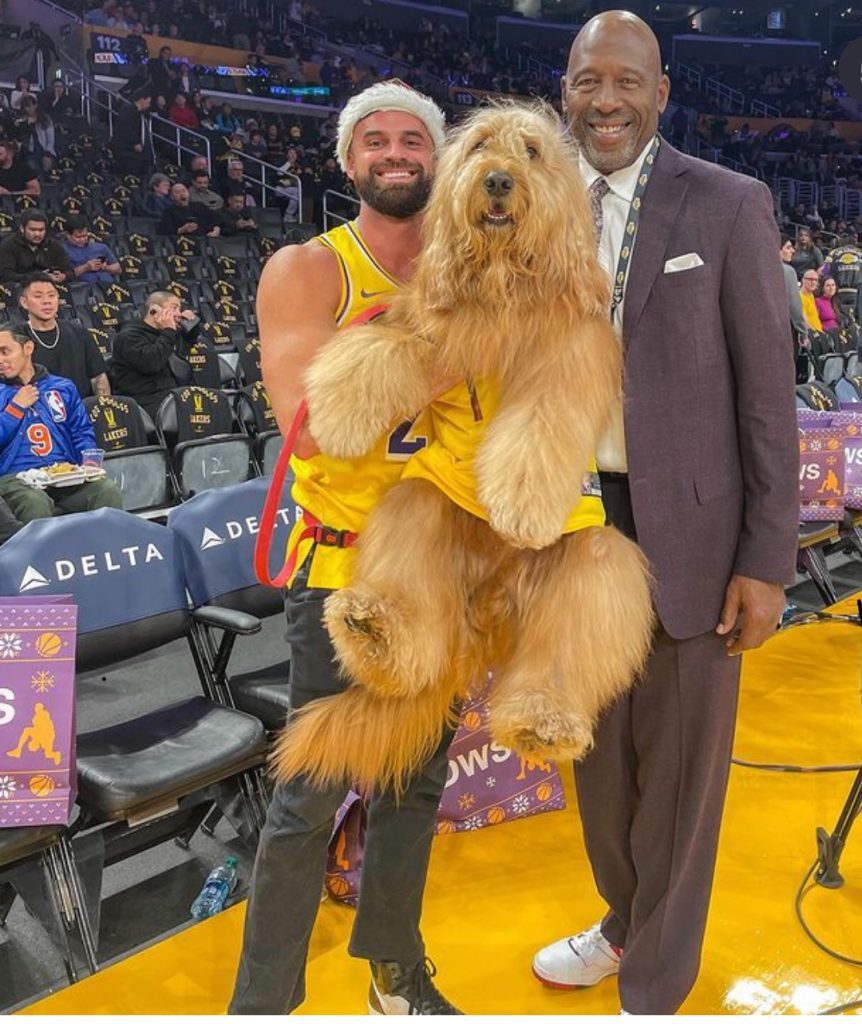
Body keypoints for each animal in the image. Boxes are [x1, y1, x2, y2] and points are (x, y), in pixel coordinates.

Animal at [274, 101, 651, 790]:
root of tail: (488, 604)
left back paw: (542, 720)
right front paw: (339, 407)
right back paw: (375, 628)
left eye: (531, 151)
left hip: (593, 564)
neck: (501, 287)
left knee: (563, 646)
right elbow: (382, 349)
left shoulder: (563, 361)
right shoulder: (432, 324)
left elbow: (539, 426)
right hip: (422, 510)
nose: (497, 180)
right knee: (411, 588)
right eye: (478, 146)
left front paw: (522, 506)